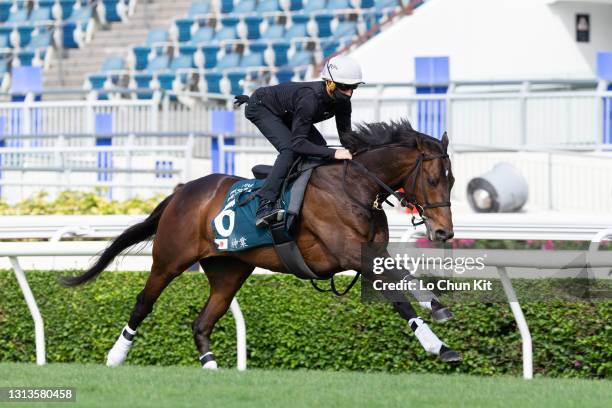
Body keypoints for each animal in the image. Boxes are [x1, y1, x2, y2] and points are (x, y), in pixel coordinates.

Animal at [62, 119, 462, 368]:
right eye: (432, 179)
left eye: (452, 180)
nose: (444, 233)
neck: (355, 185)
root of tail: (182, 191)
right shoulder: (350, 253)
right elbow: (398, 295)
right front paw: (438, 344)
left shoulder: (371, 251)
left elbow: (405, 279)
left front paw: (439, 313)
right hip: (169, 260)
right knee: (144, 303)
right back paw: (116, 356)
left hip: (229, 271)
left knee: (201, 324)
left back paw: (212, 370)